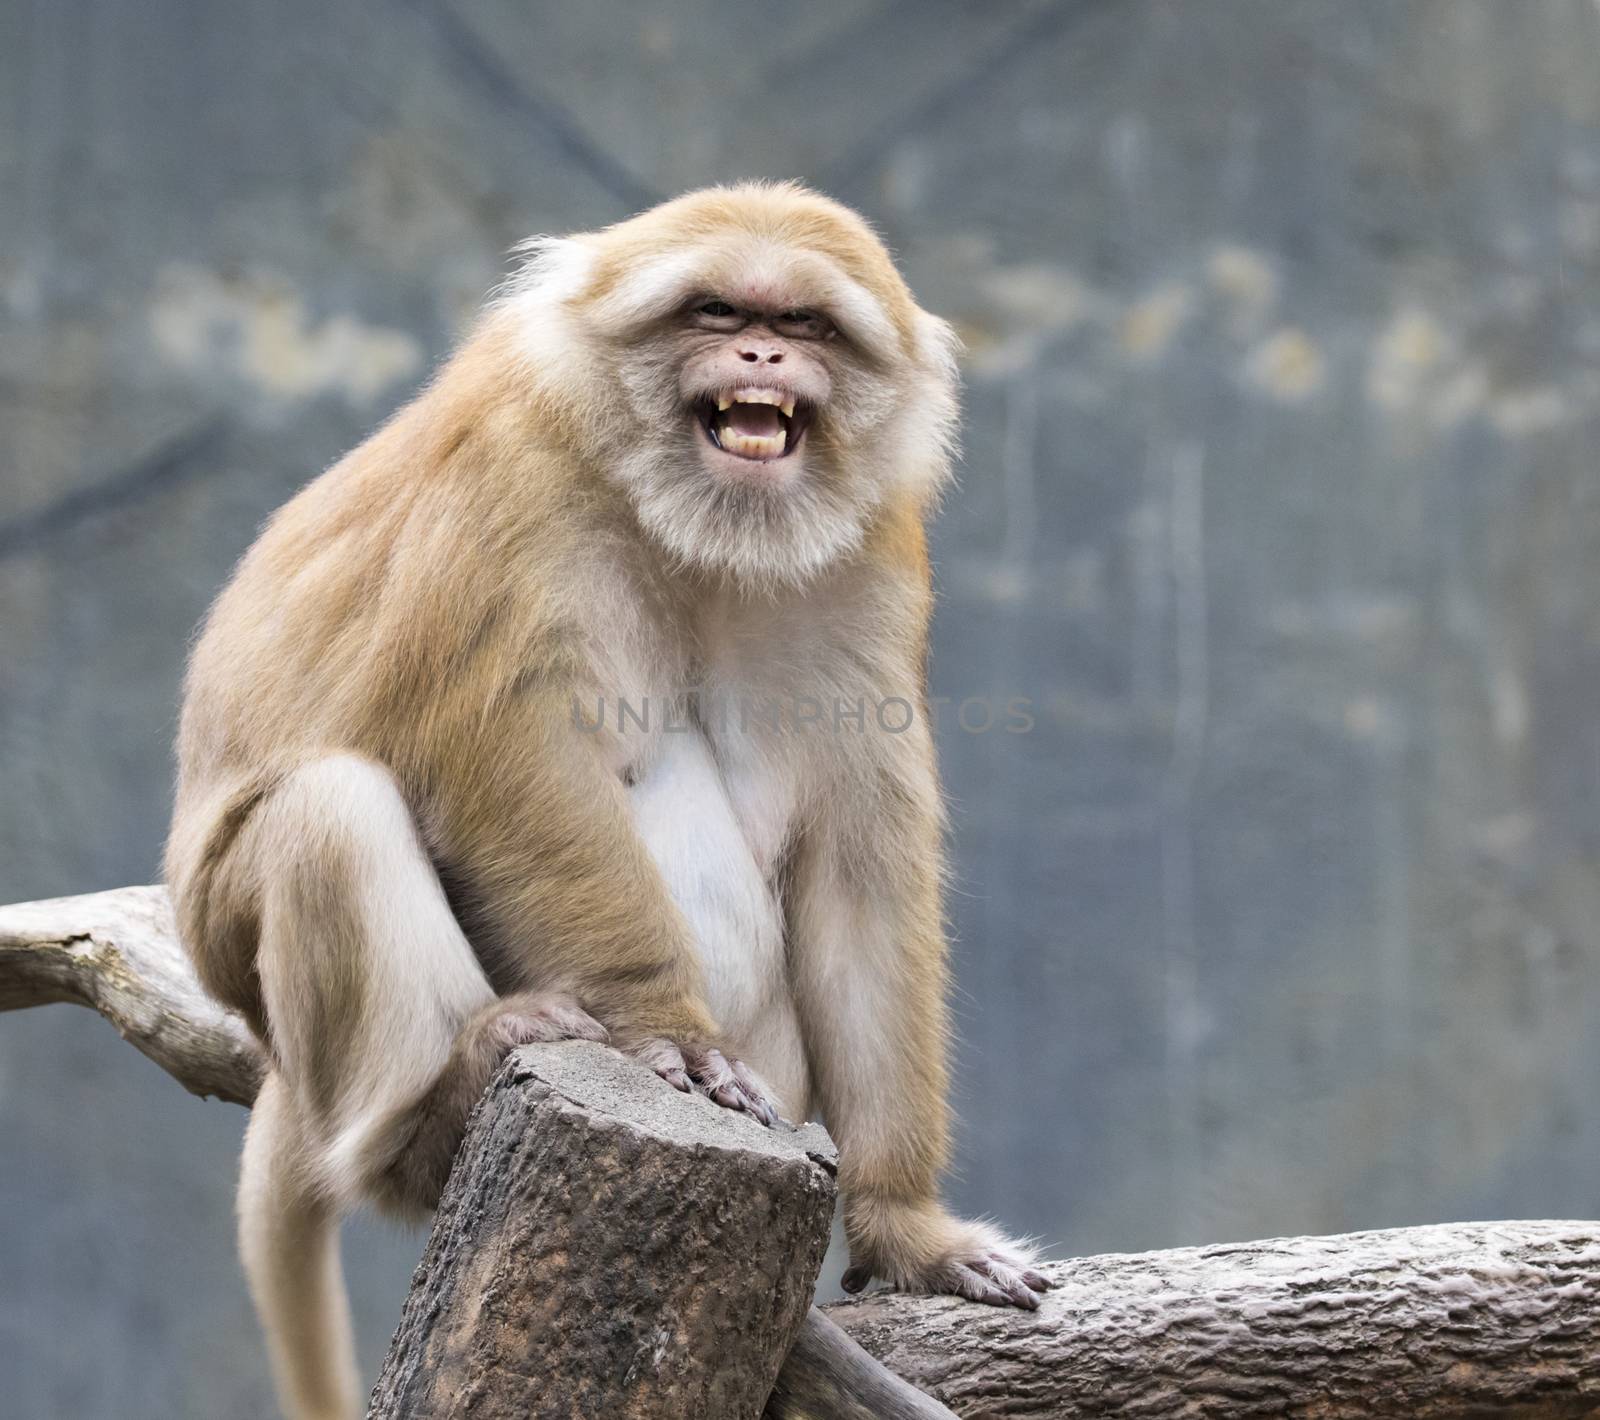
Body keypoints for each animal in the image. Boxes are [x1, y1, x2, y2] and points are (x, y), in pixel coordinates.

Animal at [168, 183, 1049, 1420]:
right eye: (716, 308)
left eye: (807, 324)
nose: (763, 352)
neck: (682, 521)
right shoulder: (512, 479)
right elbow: (500, 754)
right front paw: (663, 1028)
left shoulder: (870, 555)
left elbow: (858, 864)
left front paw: (907, 1226)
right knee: (328, 807)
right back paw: (441, 1101)